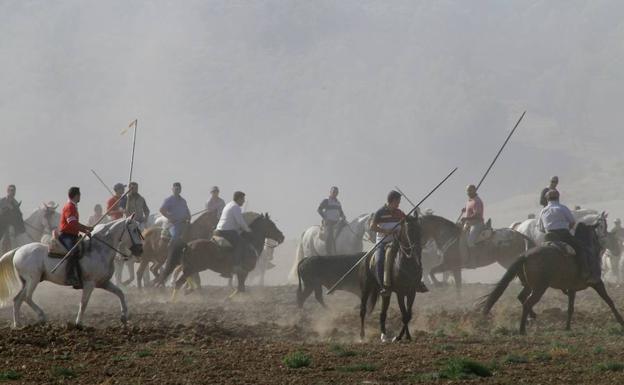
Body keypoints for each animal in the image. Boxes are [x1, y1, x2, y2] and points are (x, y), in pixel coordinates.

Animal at [0, 214, 143, 326]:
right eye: (134, 230)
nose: (140, 250)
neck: (99, 249)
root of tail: (18, 250)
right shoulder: (89, 284)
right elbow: (83, 303)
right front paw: (78, 323)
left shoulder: (103, 282)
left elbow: (120, 293)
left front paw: (124, 316)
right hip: (33, 280)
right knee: (27, 297)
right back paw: (41, 316)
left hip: (26, 282)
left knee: (18, 299)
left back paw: (17, 324)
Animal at [358, 213, 422, 342]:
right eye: (409, 230)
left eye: (420, 229)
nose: (417, 250)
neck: (406, 262)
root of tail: (366, 257)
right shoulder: (400, 292)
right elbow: (404, 314)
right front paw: (398, 337)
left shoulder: (412, 291)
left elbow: (408, 315)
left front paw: (406, 336)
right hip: (365, 288)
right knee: (363, 310)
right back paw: (362, 336)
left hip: (385, 294)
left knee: (383, 313)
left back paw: (384, 335)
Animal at [482, 218, 624, 334]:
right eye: (597, 234)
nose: (603, 248)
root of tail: (525, 255)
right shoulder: (597, 282)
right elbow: (609, 300)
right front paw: (620, 320)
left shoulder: (572, 288)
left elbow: (570, 308)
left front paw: (567, 327)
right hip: (539, 288)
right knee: (527, 303)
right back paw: (522, 329)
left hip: (529, 286)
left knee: (522, 297)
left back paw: (532, 317)